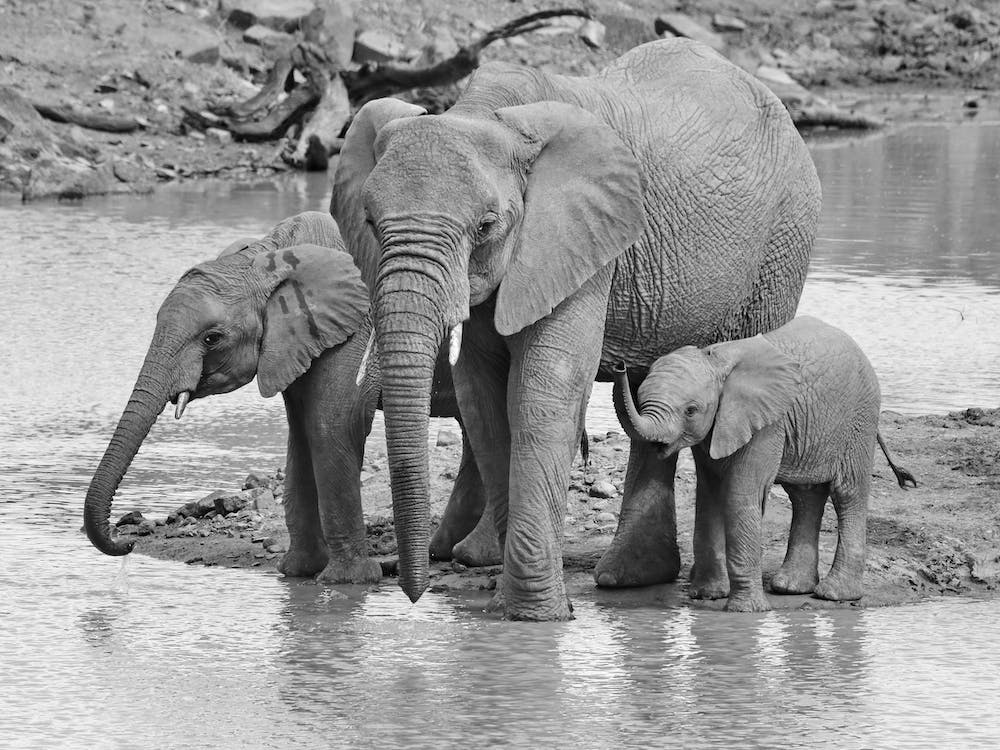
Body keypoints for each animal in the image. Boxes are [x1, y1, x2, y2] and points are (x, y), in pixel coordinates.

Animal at [82, 211, 495, 581]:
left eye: (212, 338)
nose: (127, 541)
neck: (267, 258)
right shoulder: (292, 342)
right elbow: (300, 436)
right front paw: (297, 572)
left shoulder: (355, 331)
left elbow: (331, 427)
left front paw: (348, 581)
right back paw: (442, 552)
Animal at [330, 37, 822, 620]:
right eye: (368, 222)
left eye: (486, 226)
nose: (411, 593)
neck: (487, 115)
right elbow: (483, 397)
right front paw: (512, 599)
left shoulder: (581, 238)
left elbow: (544, 391)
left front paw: (537, 616)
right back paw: (630, 576)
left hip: (783, 245)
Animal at [612, 315, 918, 611]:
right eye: (641, 400)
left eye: (691, 410)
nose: (620, 365)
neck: (715, 362)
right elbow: (709, 494)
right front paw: (708, 595)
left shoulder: (766, 424)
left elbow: (740, 495)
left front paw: (746, 612)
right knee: (805, 495)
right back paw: (791, 587)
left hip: (859, 417)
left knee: (847, 492)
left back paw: (834, 595)